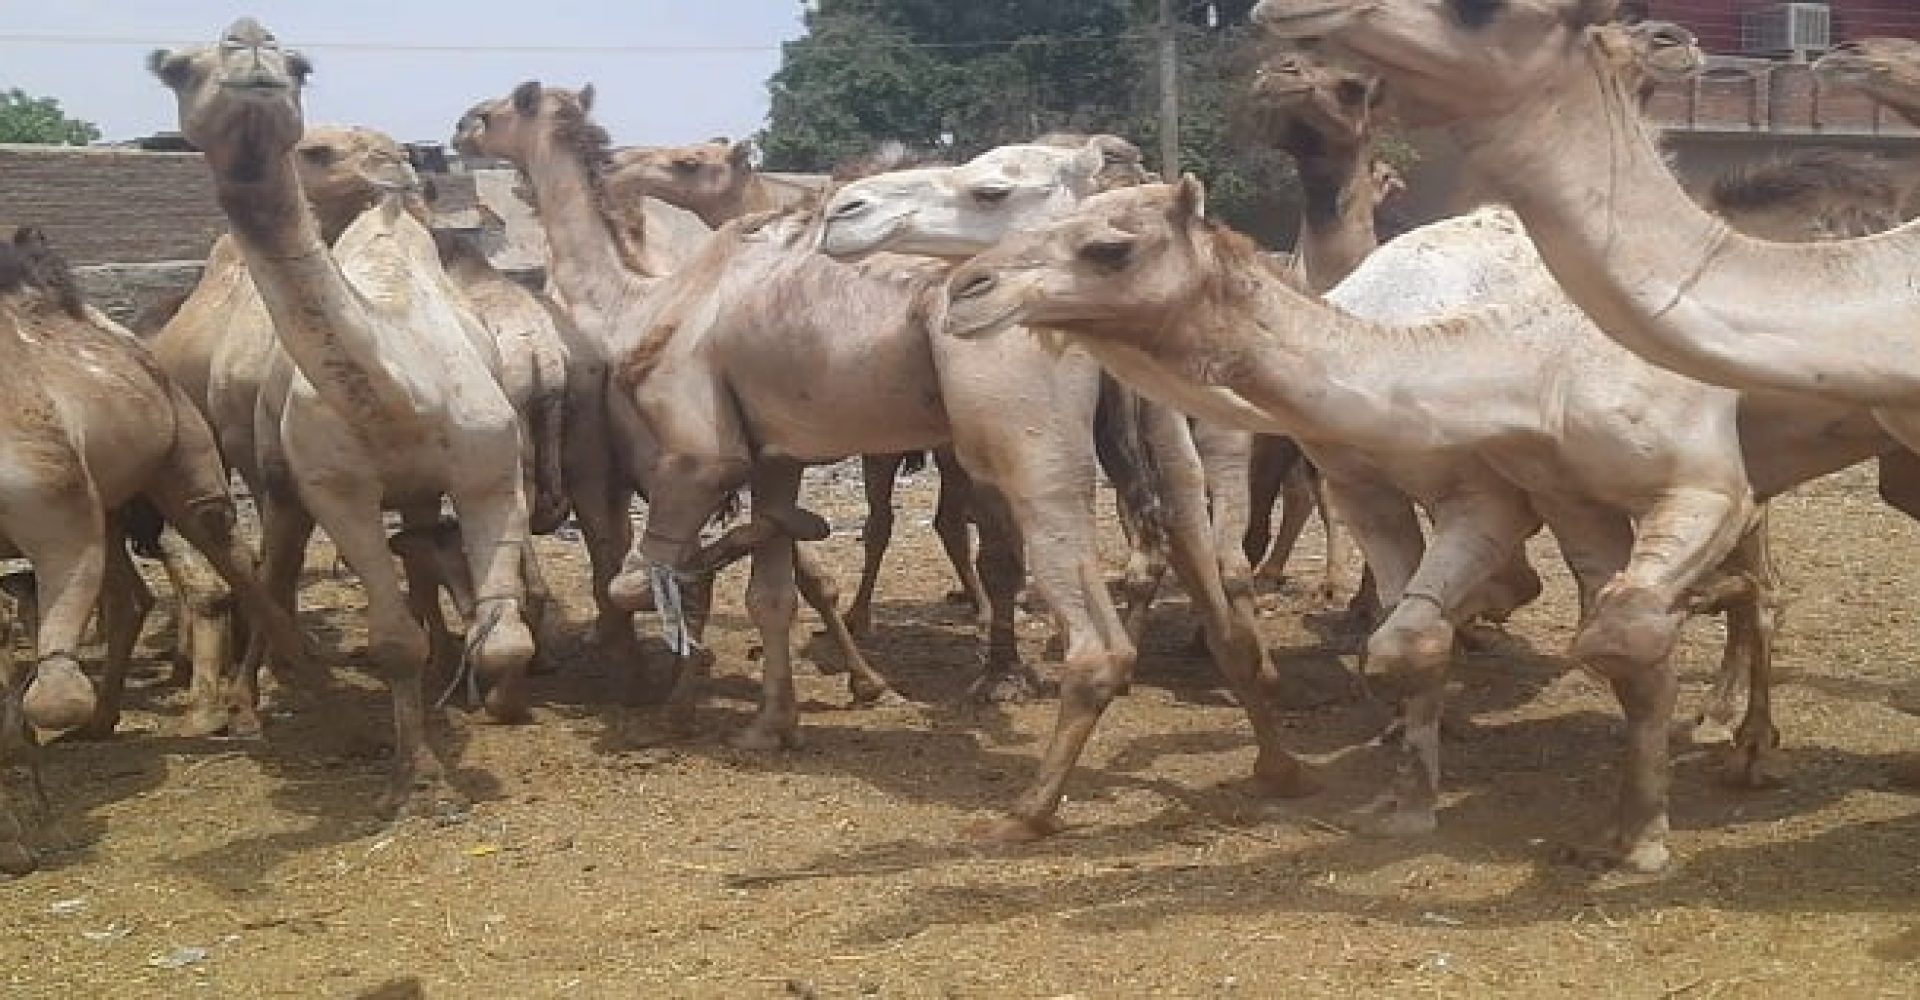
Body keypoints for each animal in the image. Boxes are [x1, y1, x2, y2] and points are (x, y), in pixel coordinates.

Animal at [0, 227, 307, 872]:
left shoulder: (55, 503)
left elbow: (46, 695)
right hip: (117, 502)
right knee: (133, 596)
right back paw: (107, 720)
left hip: (179, 463)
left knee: (225, 552)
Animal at [151, 18, 541, 818]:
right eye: (172, 69)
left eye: (299, 66)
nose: (249, 43)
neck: (400, 388)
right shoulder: (337, 488)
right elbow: (391, 641)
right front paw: (418, 780)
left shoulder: (492, 469)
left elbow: (504, 634)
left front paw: (496, 699)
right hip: (270, 469)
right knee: (273, 563)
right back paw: (257, 699)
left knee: (413, 543)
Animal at [456, 83, 1298, 840]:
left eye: (497, 109)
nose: (459, 129)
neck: (645, 301)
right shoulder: (777, 451)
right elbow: (769, 592)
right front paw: (771, 725)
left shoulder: (699, 452)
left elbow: (639, 577)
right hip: (1164, 430)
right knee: (1209, 573)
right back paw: (1273, 764)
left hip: (1028, 447)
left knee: (1095, 637)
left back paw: (1026, 811)